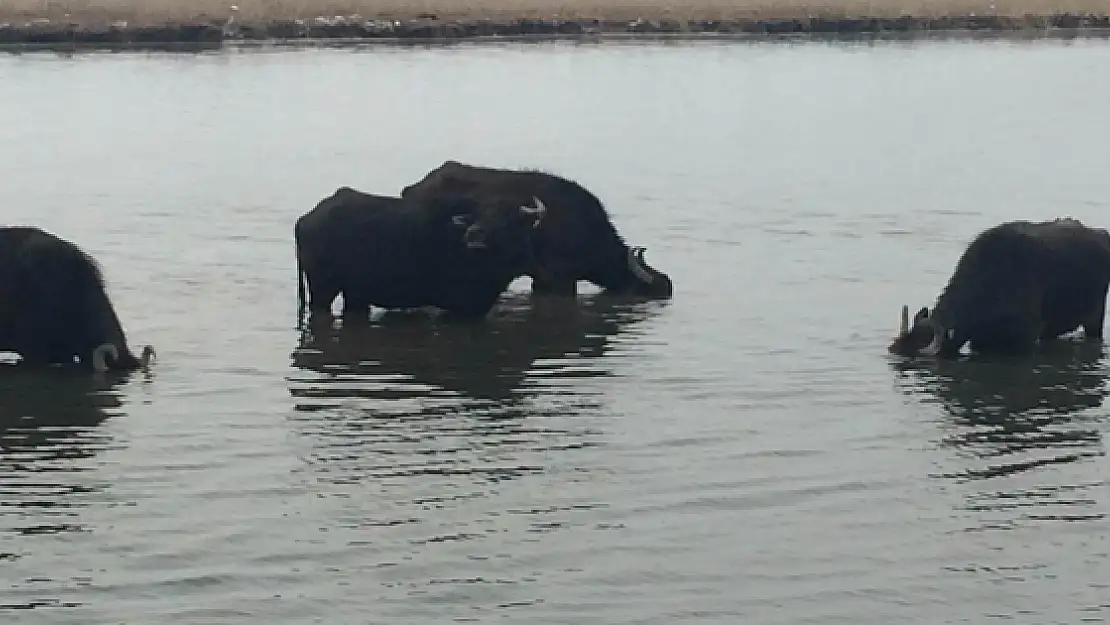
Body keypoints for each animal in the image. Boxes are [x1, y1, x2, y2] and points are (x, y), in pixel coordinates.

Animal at [295, 185, 546, 321]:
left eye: (506, 219)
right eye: (479, 215)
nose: (474, 236)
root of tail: (306, 219)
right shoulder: (459, 307)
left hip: (354, 293)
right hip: (322, 288)